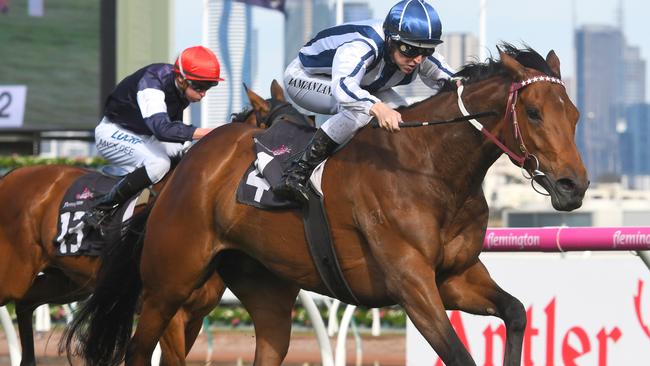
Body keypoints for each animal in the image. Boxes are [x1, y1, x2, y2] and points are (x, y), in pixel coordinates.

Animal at [0, 81, 288, 366]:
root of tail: (11, 175)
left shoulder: (193, 316)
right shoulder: (168, 310)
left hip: (67, 282)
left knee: (25, 303)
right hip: (16, 275)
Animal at [67, 44, 588, 364]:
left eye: (575, 115)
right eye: (534, 112)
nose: (574, 186)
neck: (431, 167)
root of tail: (182, 167)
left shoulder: (455, 276)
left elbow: (516, 312)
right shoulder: (410, 282)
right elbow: (457, 353)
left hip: (263, 287)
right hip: (169, 282)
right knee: (138, 348)